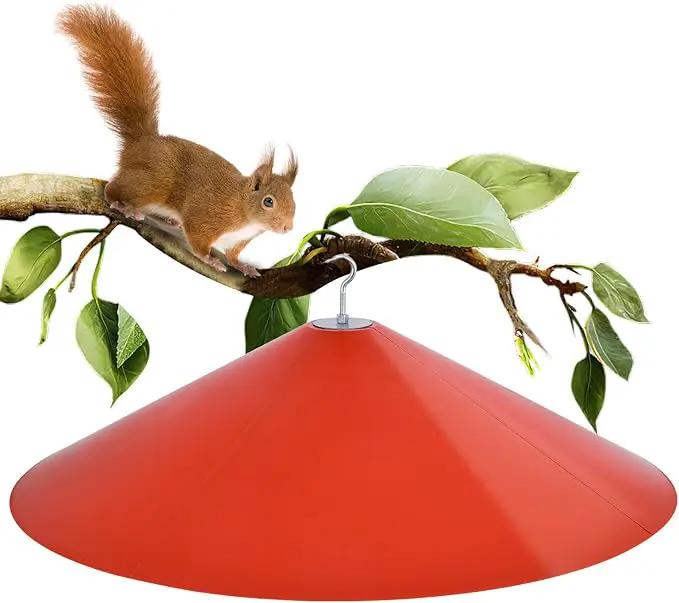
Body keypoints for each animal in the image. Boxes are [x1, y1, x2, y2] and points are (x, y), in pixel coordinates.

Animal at [57, 5, 296, 277]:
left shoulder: (238, 240)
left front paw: (243, 266)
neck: (242, 208)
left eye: (293, 198)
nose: (288, 227)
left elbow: (233, 256)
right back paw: (122, 205)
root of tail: (143, 142)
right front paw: (210, 260)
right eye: (268, 201)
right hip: (151, 183)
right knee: (112, 188)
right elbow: (198, 239)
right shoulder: (205, 216)